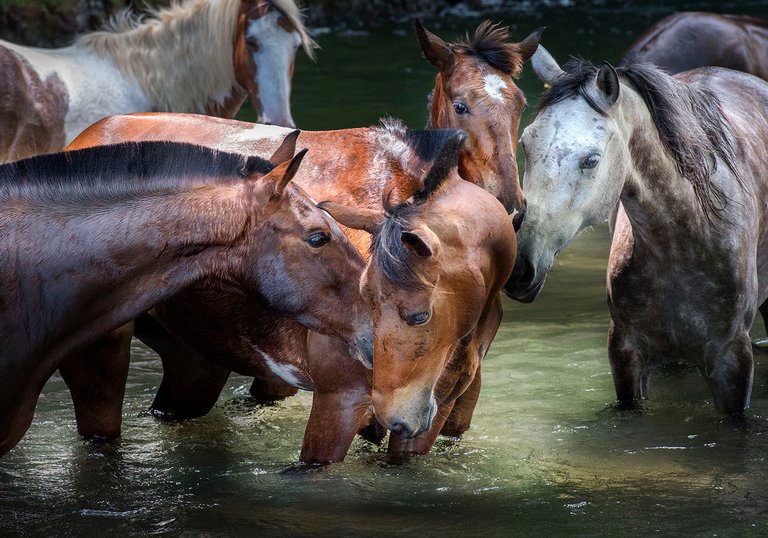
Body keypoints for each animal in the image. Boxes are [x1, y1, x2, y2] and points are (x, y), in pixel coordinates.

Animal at [504, 45, 768, 410]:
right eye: (526, 144)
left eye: (591, 160)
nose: (519, 267)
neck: (682, 237)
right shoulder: (627, 353)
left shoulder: (733, 359)